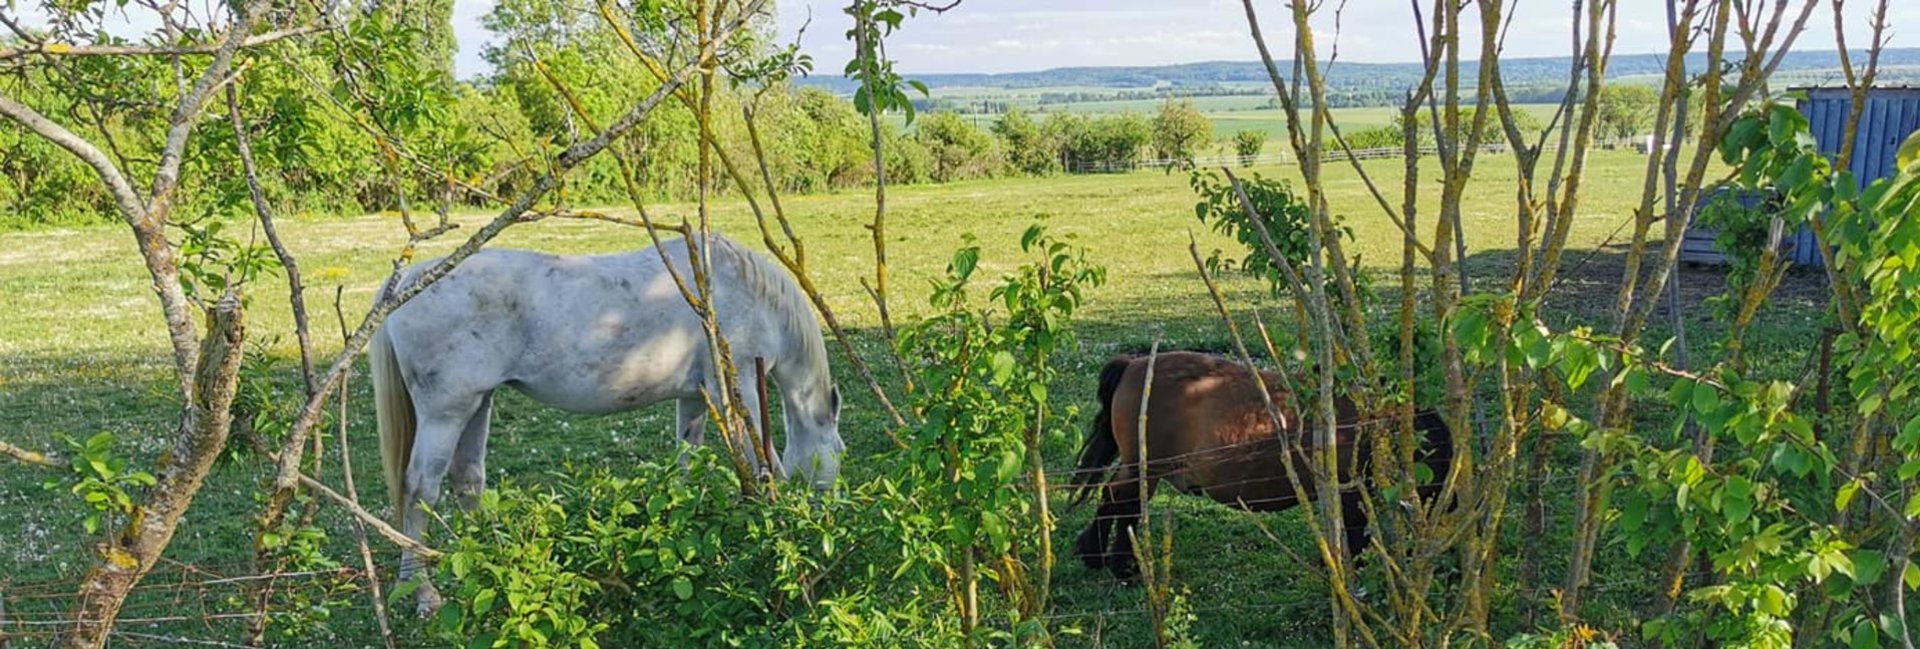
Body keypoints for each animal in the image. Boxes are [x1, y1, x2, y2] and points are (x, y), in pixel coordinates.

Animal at [366, 232, 840, 614]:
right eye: (839, 452)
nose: (826, 522)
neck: (737, 291)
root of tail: (410, 282)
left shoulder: (695, 396)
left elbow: (687, 462)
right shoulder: (737, 388)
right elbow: (764, 463)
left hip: (477, 404)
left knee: (468, 479)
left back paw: (495, 560)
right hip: (445, 413)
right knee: (421, 490)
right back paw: (422, 592)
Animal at [1067, 353, 1451, 579]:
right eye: (1439, 463)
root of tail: (1134, 364)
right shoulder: (1348, 490)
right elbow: (1355, 533)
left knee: (1113, 499)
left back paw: (1095, 554)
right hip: (1145, 469)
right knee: (1124, 503)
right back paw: (1121, 565)